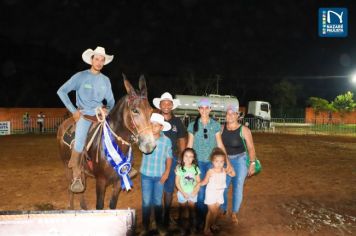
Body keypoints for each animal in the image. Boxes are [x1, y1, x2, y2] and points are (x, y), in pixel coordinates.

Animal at [56, 76, 154, 210]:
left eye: (151, 111)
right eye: (135, 110)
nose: (150, 145)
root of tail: (64, 124)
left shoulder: (118, 181)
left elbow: (112, 205)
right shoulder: (101, 181)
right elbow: (100, 206)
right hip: (66, 166)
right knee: (70, 187)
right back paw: (71, 206)